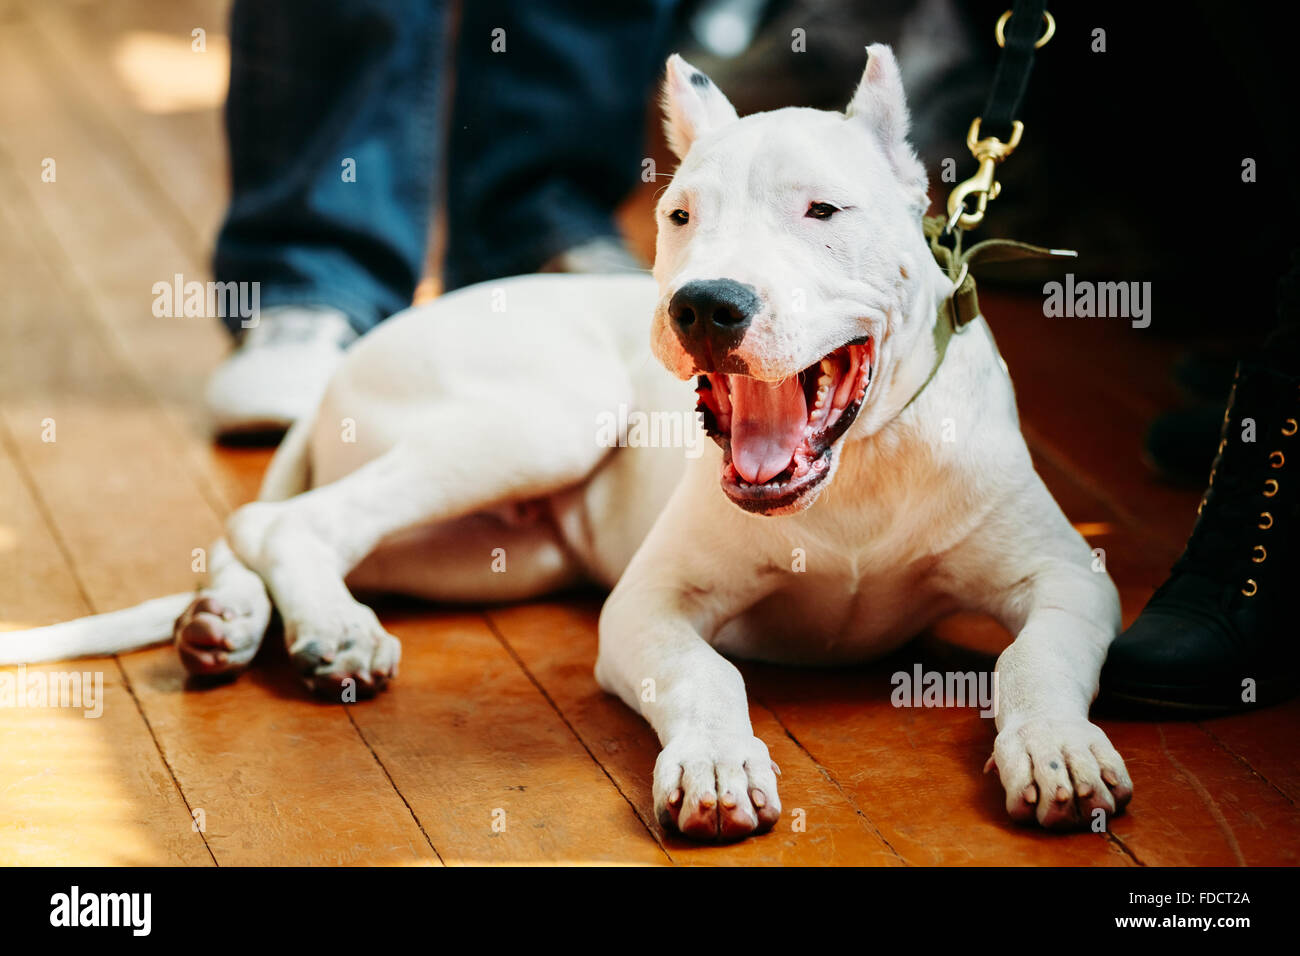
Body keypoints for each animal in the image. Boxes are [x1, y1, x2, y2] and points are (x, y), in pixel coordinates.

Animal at [2, 48, 1128, 842]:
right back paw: (330, 630)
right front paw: (716, 763)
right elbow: (708, 676)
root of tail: (340, 368)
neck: (854, 476)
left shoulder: (1070, 577)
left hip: (488, 550)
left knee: (275, 523)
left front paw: (1058, 749)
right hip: (542, 416)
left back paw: (226, 619)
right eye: (679, 215)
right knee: (287, 518)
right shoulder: (648, 607)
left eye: (822, 210)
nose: (703, 305)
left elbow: (1034, 656)